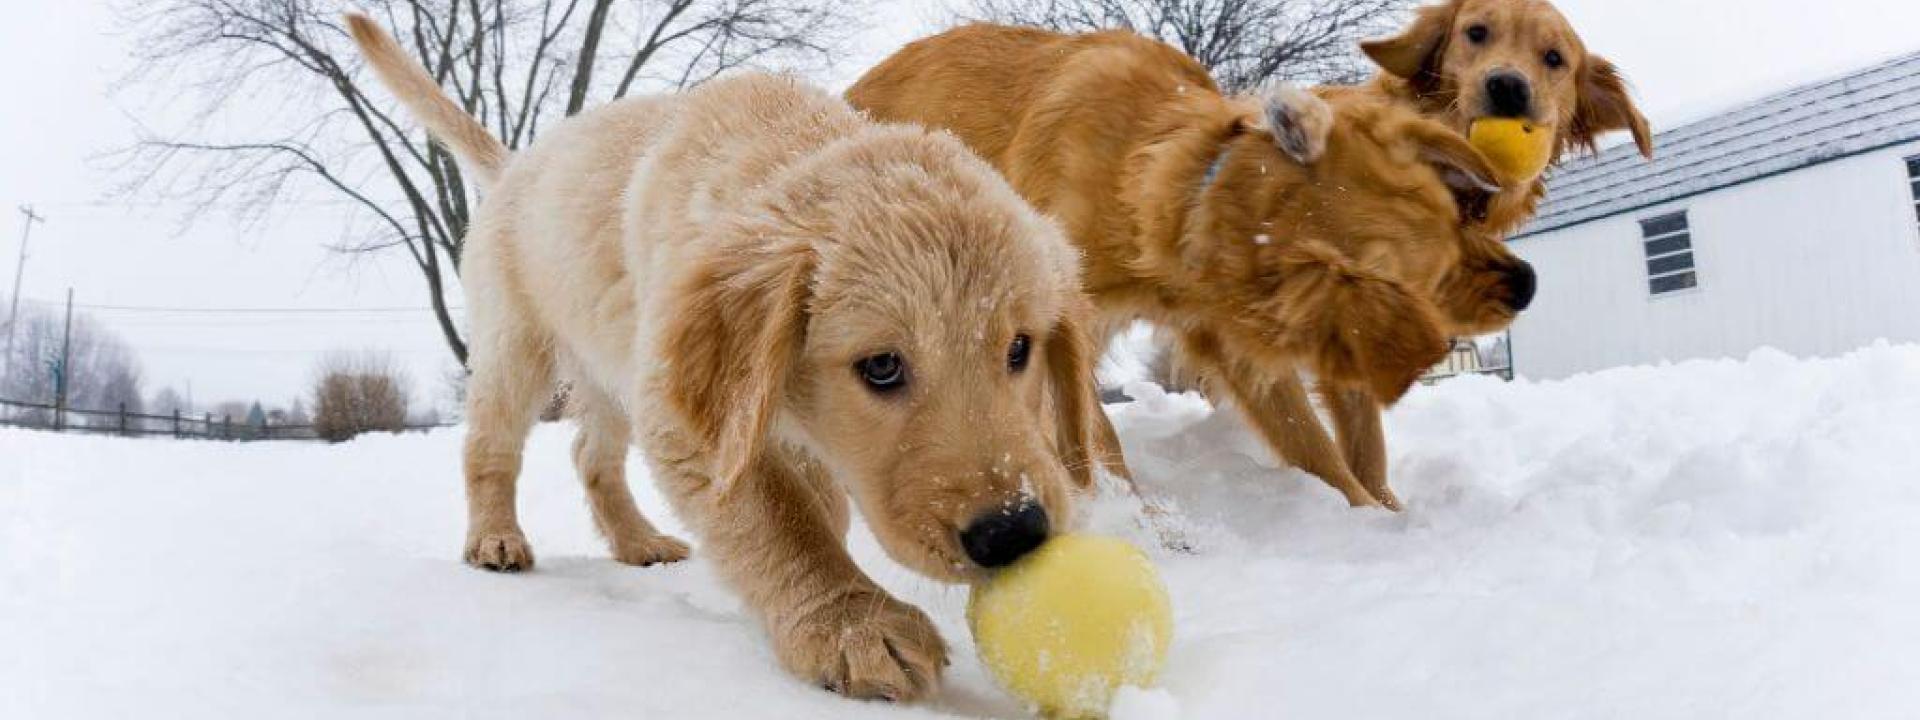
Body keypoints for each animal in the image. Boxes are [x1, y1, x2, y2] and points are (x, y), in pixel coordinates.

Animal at [345, 12, 1113, 706]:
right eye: (882, 367)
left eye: (1020, 348)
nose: (1014, 533)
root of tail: (515, 165)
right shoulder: (694, 414)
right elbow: (774, 516)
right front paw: (850, 622)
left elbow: (815, 501)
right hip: (518, 345)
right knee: (490, 447)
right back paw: (495, 539)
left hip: (612, 367)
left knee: (592, 456)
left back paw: (637, 541)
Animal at [848, 25, 1520, 510]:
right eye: (1426, 282)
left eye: (1458, 218)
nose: (1527, 285)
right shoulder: (1064, 327)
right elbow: (1097, 439)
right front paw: (1141, 522)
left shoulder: (1231, 341)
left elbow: (1322, 450)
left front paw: (1380, 519)